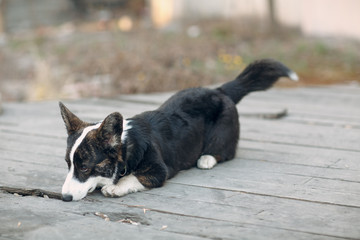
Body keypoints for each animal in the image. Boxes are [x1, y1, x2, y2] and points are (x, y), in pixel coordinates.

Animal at [59, 59, 296, 202]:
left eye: (85, 167)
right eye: (68, 165)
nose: (65, 198)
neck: (125, 147)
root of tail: (220, 91)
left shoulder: (159, 171)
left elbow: (133, 177)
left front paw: (115, 187)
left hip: (222, 135)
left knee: (225, 151)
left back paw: (207, 159)